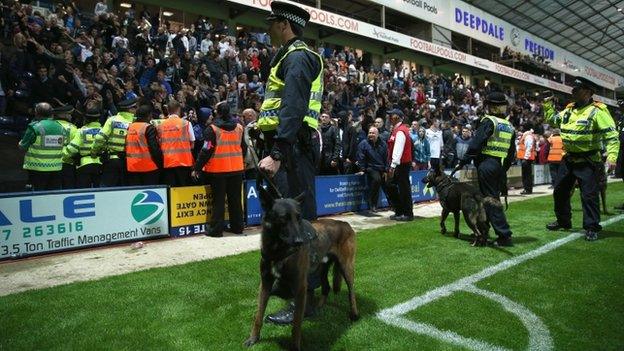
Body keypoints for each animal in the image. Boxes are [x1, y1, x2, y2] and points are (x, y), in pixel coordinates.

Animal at [245, 186, 358, 350]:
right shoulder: (265, 284)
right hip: (320, 268)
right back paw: (319, 307)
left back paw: (354, 314)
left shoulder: (300, 287)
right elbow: (258, 315)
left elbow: (297, 325)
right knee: (326, 287)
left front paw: (295, 346)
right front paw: (253, 338)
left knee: (351, 291)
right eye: (283, 218)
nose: (299, 242)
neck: (278, 251)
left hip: (346, 268)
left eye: (298, 217)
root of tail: (344, 223)